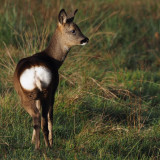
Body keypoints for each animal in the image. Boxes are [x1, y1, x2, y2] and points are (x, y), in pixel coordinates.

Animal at [13, 8, 89, 149]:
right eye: (73, 30)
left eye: (79, 27)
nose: (85, 39)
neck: (53, 60)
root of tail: (35, 71)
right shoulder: (54, 89)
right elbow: (51, 117)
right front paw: (51, 141)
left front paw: (32, 140)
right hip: (43, 92)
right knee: (42, 118)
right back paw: (47, 146)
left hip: (32, 93)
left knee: (37, 117)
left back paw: (38, 146)